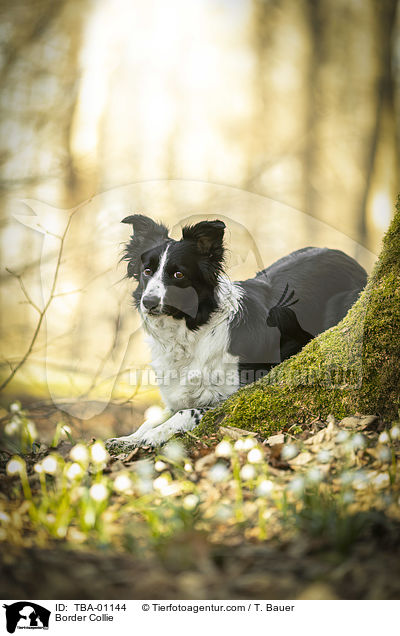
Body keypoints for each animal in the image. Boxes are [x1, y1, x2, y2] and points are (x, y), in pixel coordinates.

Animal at [105, 214, 366, 448]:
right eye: (147, 272)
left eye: (179, 274)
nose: (148, 302)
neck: (191, 332)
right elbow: (154, 416)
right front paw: (130, 438)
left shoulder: (236, 392)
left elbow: (188, 412)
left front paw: (155, 434)